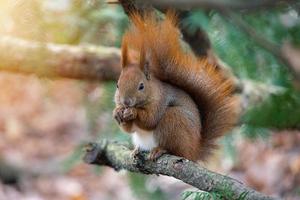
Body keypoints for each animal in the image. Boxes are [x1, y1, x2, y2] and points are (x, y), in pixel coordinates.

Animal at [112, 10, 239, 162]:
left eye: (141, 86)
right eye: (117, 85)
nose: (126, 102)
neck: (152, 91)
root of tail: (193, 151)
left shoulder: (160, 102)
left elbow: (150, 120)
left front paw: (133, 112)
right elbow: (129, 129)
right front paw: (117, 112)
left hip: (173, 120)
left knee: (175, 149)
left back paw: (159, 150)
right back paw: (136, 150)